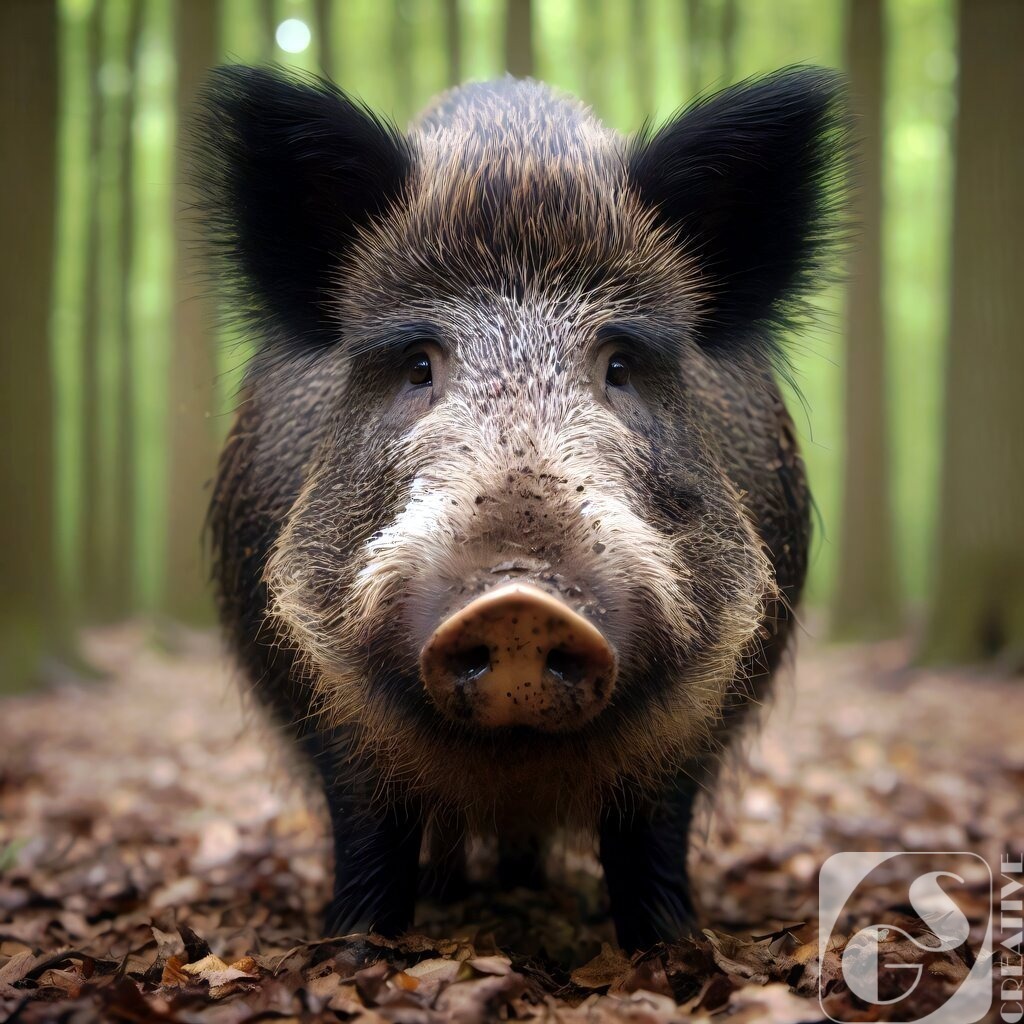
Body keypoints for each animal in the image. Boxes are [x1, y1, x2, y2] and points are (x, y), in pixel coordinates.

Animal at [194, 66, 848, 952]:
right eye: (418, 364)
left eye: (619, 364)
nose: (517, 601)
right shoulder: (325, 703)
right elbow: (369, 833)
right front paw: (353, 947)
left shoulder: (701, 714)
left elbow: (652, 838)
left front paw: (675, 948)